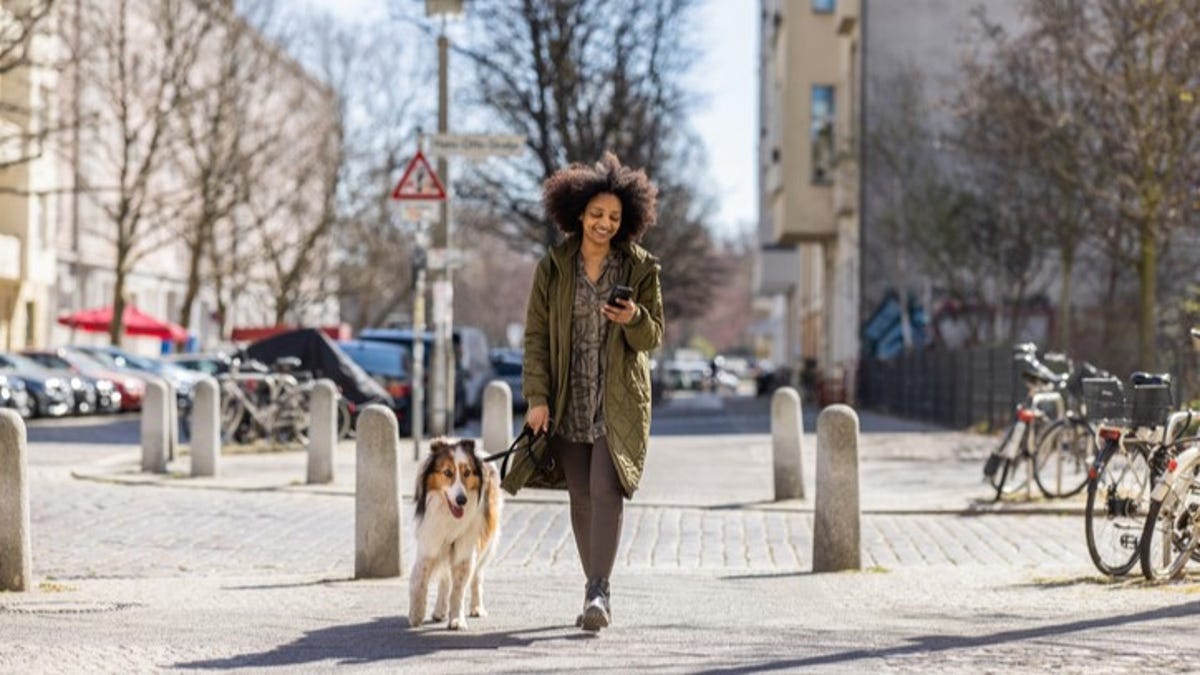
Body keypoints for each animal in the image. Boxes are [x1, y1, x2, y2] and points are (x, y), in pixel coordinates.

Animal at [405, 432, 499, 629]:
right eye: (447, 473)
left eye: (467, 473)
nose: (462, 500)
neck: (448, 516)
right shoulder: (429, 543)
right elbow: (420, 581)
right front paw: (416, 613)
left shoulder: (465, 551)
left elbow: (458, 590)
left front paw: (456, 619)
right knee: (445, 578)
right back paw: (439, 610)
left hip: (487, 544)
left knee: (477, 577)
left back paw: (477, 607)